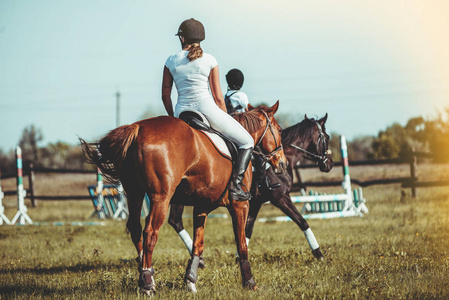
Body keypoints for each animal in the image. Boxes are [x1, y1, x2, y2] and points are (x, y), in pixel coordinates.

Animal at [79, 102, 286, 294]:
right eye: (279, 130)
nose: (282, 163)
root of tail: (137, 129)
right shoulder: (240, 204)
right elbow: (241, 243)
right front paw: (249, 282)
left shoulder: (202, 206)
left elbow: (198, 244)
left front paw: (190, 280)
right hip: (160, 198)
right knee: (150, 232)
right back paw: (147, 283)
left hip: (134, 193)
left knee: (135, 228)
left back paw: (146, 274)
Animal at [166, 113, 330, 264]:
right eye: (327, 138)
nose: (329, 164)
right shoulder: (280, 198)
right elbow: (302, 222)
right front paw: (318, 253)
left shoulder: (256, 202)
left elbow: (248, 229)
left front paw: (239, 256)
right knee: (175, 221)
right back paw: (198, 259)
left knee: (174, 221)